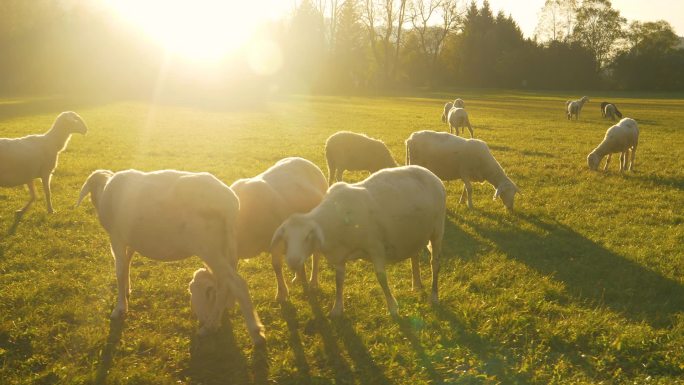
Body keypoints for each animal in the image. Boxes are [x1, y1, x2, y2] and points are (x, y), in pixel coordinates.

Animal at [76, 170, 264, 344]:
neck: (105, 190)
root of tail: (229, 204)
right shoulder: (130, 240)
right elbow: (127, 263)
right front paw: (128, 290)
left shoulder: (117, 237)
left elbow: (120, 269)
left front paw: (119, 308)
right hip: (222, 247)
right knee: (224, 285)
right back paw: (212, 325)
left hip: (209, 247)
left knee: (236, 284)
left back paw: (254, 332)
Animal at [270, 164, 446, 316]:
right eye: (285, 238)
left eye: (308, 237)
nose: (293, 261)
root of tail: (430, 174)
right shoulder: (339, 256)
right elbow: (339, 281)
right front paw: (337, 309)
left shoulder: (375, 247)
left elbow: (381, 278)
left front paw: (392, 307)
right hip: (414, 233)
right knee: (414, 256)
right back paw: (416, 285)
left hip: (437, 229)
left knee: (435, 263)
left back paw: (434, 296)